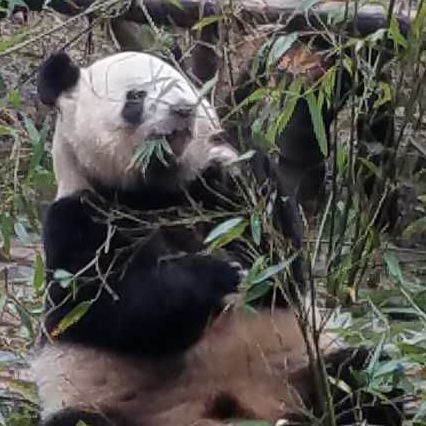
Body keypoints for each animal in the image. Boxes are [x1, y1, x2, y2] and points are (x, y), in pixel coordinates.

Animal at [31, 51, 403, 426]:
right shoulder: (81, 218)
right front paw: (215, 275)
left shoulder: (209, 195)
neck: (156, 192)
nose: (183, 110)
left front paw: (237, 165)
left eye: (184, 88)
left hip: (299, 363)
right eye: (136, 96)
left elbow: (282, 268)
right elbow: (105, 304)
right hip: (112, 401)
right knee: (79, 419)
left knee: (362, 375)